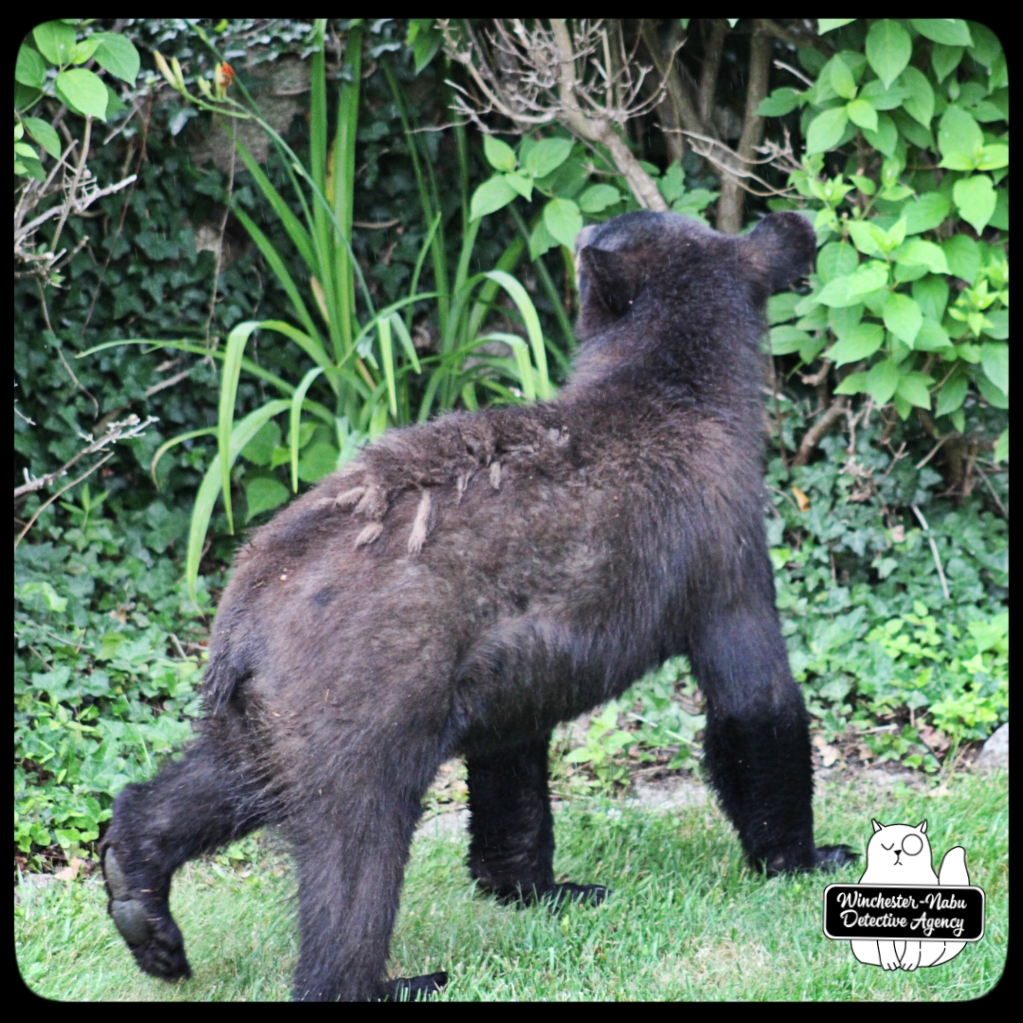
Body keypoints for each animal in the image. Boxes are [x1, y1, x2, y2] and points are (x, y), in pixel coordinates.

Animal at [100, 210, 855, 1001]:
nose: (582, 229)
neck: (670, 391)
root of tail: (244, 617)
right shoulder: (726, 556)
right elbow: (755, 700)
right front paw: (804, 858)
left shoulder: (506, 673)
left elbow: (509, 768)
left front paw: (536, 889)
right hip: (364, 716)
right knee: (353, 862)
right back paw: (393, 980)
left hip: (266, 720)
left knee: (214, 785)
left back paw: (140, 898)